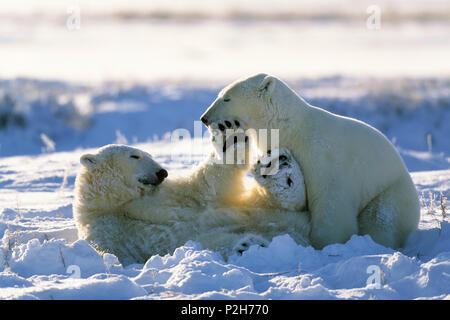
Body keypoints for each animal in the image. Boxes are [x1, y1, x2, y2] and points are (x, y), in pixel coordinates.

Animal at [74, 129, 312, 264]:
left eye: (148, 154)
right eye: (134, 155)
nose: (162, 172)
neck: (119, 202)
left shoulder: (173, 195)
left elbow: (209, 184)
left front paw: (233, 139)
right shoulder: (106, 229)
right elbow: (113, 253)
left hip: (261, 207)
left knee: (285, 201)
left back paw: (280, 167)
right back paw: (249, 244)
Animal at [201, 73, 422, 250]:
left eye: (227, 98)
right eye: (221, 94)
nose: (204, 118)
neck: (293, 130)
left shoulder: (324, 159)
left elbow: (331, 203)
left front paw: (325, 243)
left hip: (390, 191)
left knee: (382, 218)